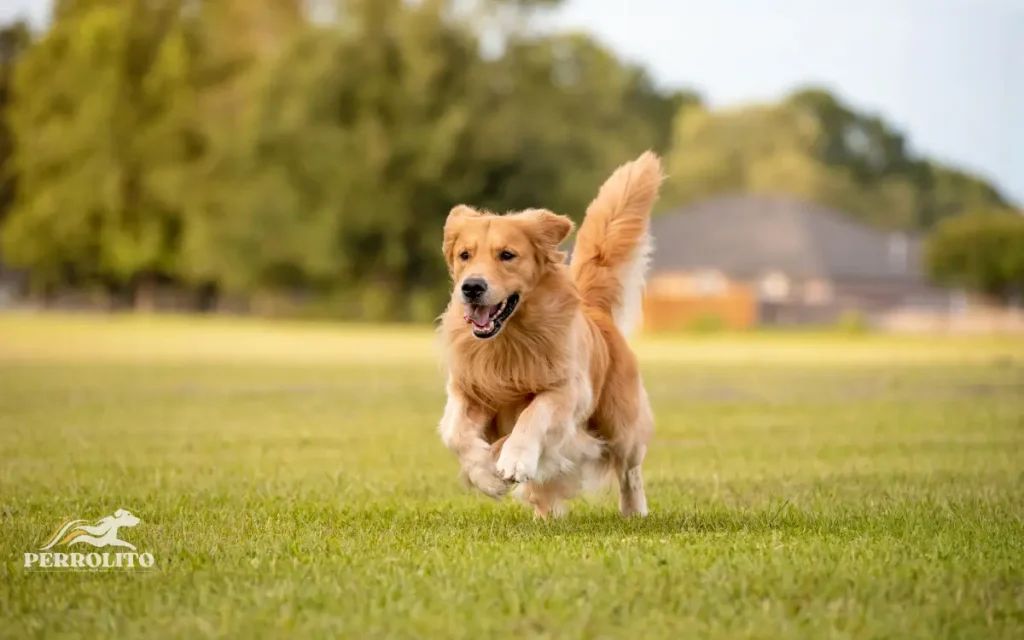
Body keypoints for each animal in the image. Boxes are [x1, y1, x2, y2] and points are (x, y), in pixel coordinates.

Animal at [434, 152, 659, 516]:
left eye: (507, 255)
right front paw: (486, 475)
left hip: (620, 423)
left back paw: (634, 511)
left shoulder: (566, 390)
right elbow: (455, 432)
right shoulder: (467, 389)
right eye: (464, 255)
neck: (509, 339)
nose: (471, 287)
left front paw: (513, 459)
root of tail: (596, 311)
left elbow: (532, 414)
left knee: (630, 469)